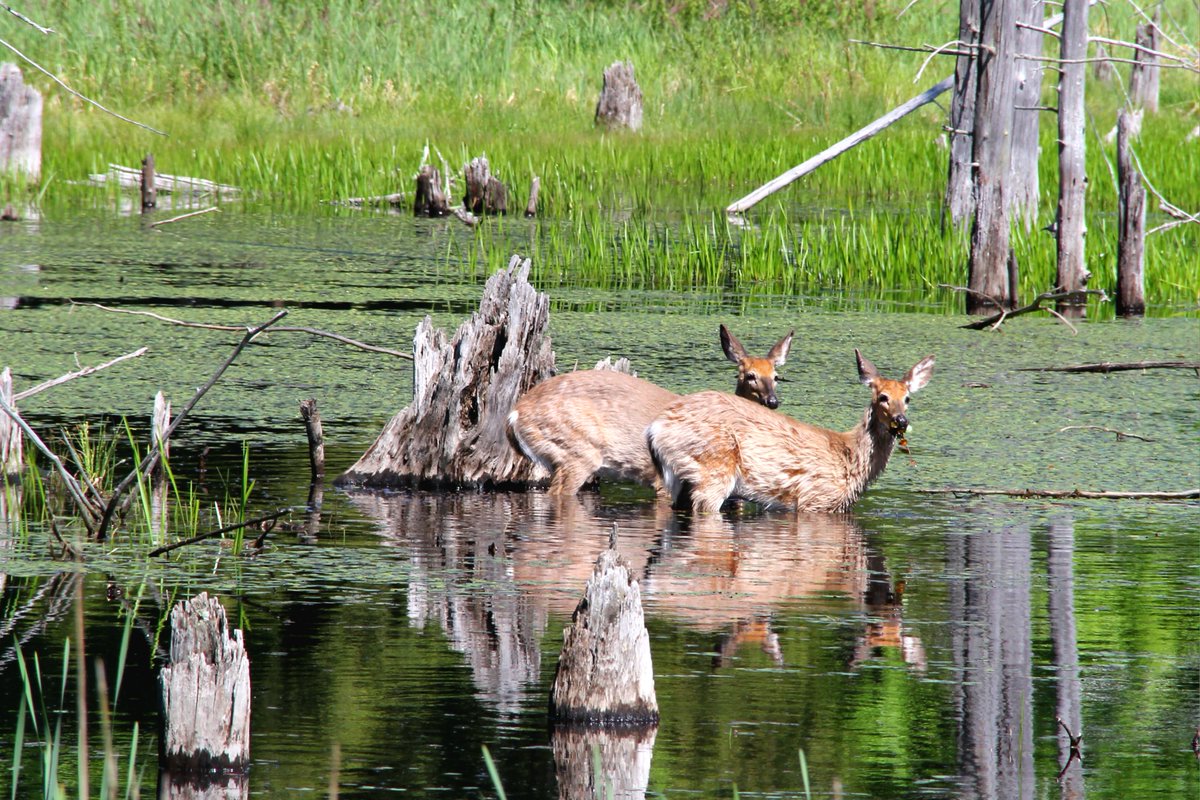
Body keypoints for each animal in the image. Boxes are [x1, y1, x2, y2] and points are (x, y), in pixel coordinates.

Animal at [508, 326, 796, 494]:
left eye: (776, 376)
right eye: (749, 376)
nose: (772, 401)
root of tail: (514, 414)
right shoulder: (662, 481)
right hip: (576, 451)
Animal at [648, 350, 936, 513]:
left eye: (907, 398)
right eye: (883, 397)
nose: (901, 420)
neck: (851, 459)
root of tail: (655, 427)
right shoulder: (815, 500)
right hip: (713, 465)